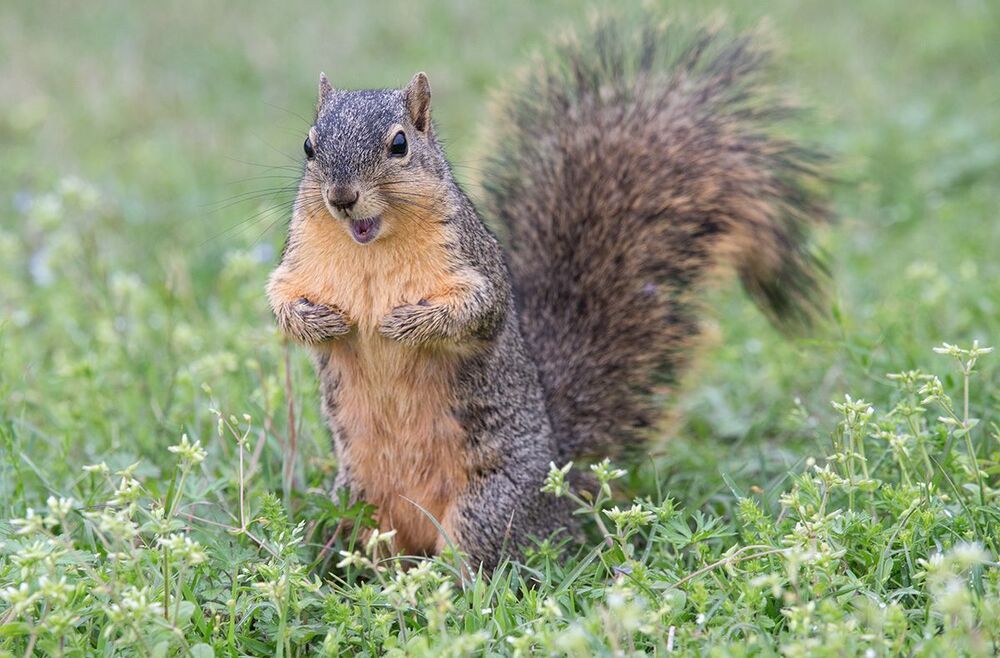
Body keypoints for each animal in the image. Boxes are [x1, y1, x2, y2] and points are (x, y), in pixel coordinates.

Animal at [266, 17, 829, 571]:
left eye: (400, 145)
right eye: (309, 146)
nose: (341, 198)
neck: (369, 249)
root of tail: (560, 486)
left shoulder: (474, 263)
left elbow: (479, 312)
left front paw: (405, 324)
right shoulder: (296, 264)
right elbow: (280, 303)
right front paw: (319, 322)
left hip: (486, 511)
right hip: (353, 502)